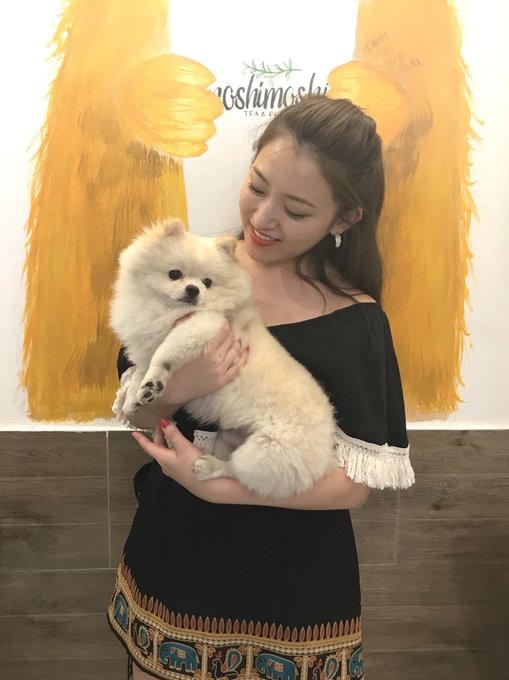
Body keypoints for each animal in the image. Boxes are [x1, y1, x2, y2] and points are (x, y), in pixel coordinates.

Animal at [109, 217, 337, 498]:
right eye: (174, 274)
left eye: (207, 282)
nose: (193, 289)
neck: (166, 310)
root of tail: (327, 454)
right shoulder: (147, 348)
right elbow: (138, 374)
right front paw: (134, 399)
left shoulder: (203, 325)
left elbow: (163, 354)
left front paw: (153, 384)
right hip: (229, 438)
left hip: (267, 450)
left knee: (236, 471)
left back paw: (208, 467)